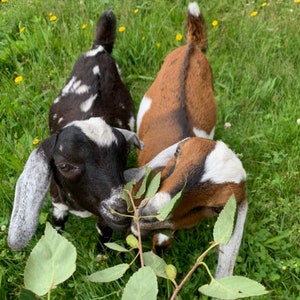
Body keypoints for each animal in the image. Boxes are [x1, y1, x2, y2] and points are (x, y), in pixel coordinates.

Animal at [7, 9, 142, 252]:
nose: (120, 208)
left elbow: (104, 232)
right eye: (64, 166)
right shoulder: (57, 202)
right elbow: (56, 226)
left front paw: (101, 255)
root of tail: (99, 49)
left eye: (123, 153)